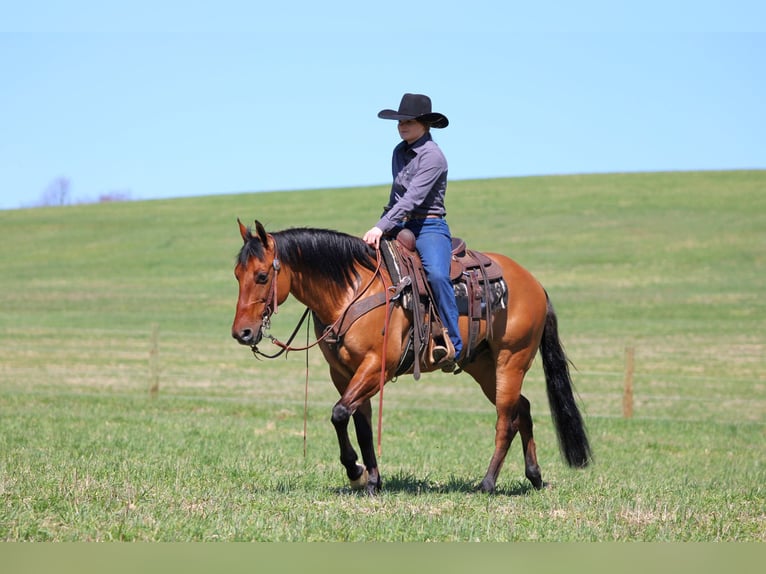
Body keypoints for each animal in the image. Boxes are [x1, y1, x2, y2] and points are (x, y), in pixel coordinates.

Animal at [231, 219, 591, 494]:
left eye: (262, 276)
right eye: (237, 274)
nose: (242, 333)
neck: (351, 291)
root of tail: (535, 284)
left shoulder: (376, 365)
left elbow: (339, 413)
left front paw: (355, 471)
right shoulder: (345, 373)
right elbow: (359, 422)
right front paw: (372, 481)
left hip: (510, 361)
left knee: (506, 419)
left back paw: (488, 483)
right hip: (485, 367)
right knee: (523, 409)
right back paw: (534, 476)